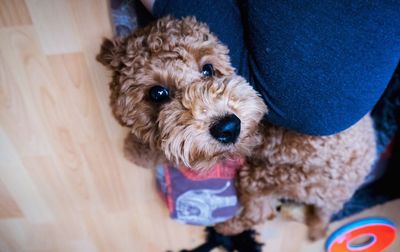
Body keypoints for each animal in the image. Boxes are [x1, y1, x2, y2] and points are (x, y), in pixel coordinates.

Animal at [97, 15, 376, 240]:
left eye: (208, 69)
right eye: (158, 93)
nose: (229, 127)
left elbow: (163, 150)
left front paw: (135, 150)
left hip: (272, 176)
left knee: (260, 212)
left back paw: (226, 228)